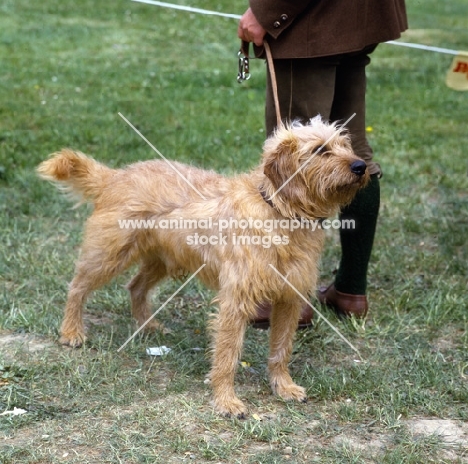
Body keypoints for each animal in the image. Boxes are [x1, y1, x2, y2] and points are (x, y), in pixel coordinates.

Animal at [37, 116, 370, 416]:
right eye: (320, 150)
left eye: (345, 145)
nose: (361, 166)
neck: (279, 210)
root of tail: (115, 175)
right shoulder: (235, 302)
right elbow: (227, 355)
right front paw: (226, 401)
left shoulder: (289, 299)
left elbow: (281, 349)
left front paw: (283, 386)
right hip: (108, 255)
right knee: (77, 287)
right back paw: (71, 331)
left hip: (162, 260)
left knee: (135, 286)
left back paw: (147, 325)